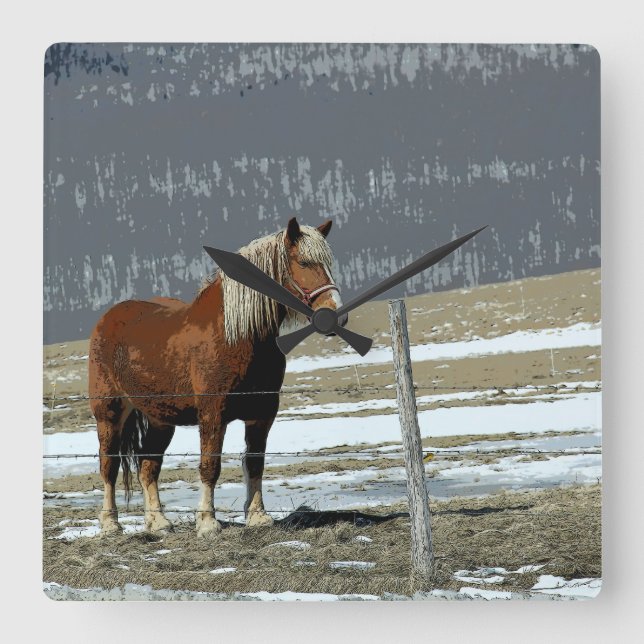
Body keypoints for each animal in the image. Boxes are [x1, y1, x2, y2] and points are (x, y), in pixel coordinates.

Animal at [88, 217, 347, 537]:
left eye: (328, 263)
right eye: (303, 261)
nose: (337, 315)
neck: (237, 336)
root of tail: (108, 318)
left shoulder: (262, 413)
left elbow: (255, 463)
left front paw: (258, 517)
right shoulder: (213, 413)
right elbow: (210, 465)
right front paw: (208, 523)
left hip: (161, 418)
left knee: (149, 465)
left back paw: (159, 523)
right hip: (109, 412)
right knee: (108, 465)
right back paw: (110, 523)